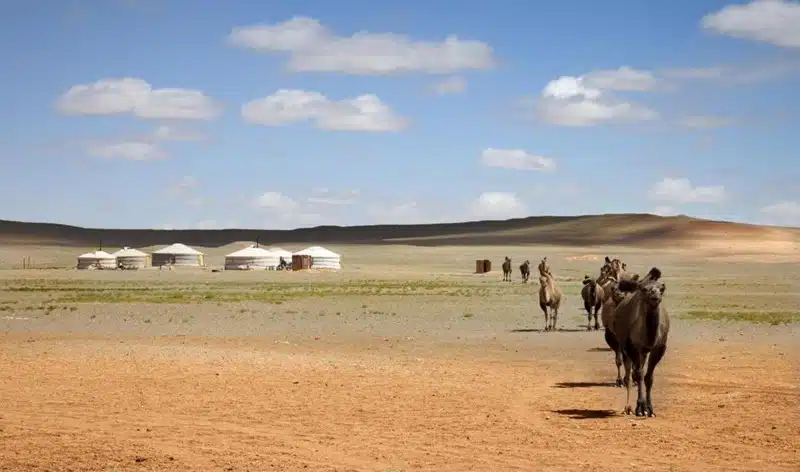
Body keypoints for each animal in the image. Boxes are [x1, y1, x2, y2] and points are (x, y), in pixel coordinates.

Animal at [612, 268, 668, 418]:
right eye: (644, 289)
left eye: (661, 289)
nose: (655, 296)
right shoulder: (634, 347)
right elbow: (638, 374)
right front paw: (641, 408)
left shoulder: (658, 348)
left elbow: (649, 377)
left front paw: (650, 409)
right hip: (625, 346)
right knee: (629, 374)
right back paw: (627, 408)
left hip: (643, 352)